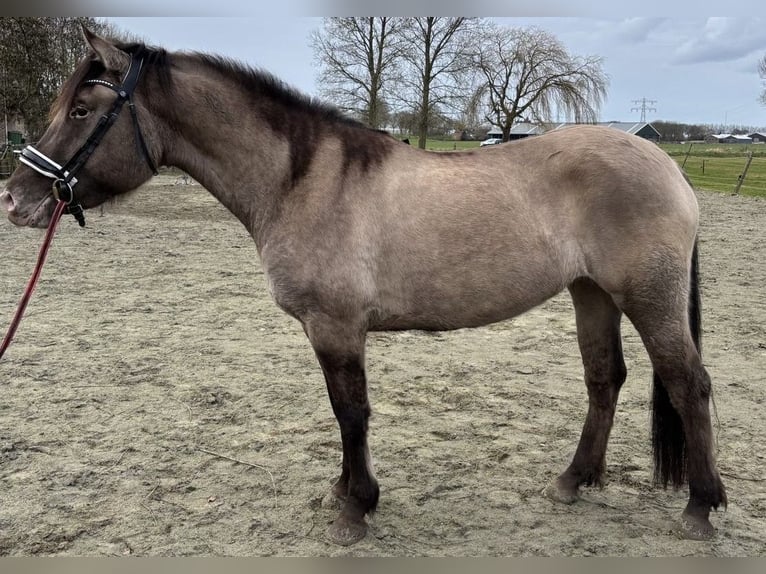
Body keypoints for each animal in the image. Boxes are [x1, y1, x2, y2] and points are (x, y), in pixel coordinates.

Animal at [0, 28, 728, 548]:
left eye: (84, 108)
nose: (15, 198)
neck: (301, 179)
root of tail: (666, 164)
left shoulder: (336, 326)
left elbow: (350, 412)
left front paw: (355, 508)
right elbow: (344, 413)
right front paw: (345, 492)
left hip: (647, 298)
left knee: (688, 385)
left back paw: (700, 507)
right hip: (591, 294)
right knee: (605, 380)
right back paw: (573, 482)